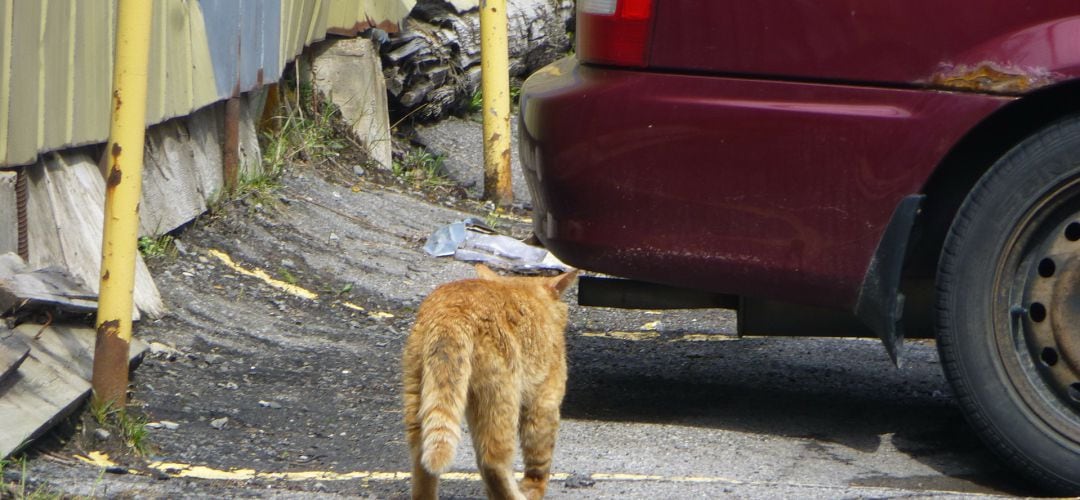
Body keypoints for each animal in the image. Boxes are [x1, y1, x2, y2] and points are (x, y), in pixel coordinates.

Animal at [403, 264, 574, 498]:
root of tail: (451, 312)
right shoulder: (544, 399)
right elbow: (538, 461)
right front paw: (533, 488)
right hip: (500, 397)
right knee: (493, 461)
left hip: (418, 391)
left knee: (420, 457)